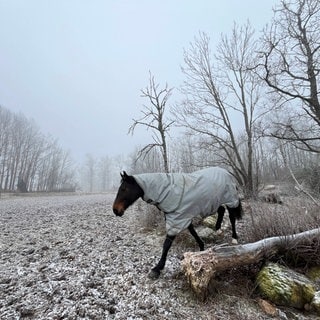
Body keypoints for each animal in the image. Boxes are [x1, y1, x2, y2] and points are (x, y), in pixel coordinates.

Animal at [112, 166, 242, 278]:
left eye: (124, 189)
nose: (115, 210)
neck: (168, 190)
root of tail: (226, 172)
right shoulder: (182, 217)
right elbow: (193, 232)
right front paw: (201, 249)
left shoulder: (177, 219)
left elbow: (166, 245)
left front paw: (157, 268)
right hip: (213, 202)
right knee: (221, 210)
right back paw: (218, 228)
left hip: (230, 200)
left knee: (232, 218)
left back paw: (234, 238)